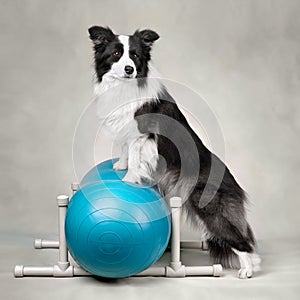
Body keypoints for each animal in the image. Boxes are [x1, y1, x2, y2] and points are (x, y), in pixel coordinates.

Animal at [88, 25, 260, 278]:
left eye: (135, 55)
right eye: (116, 54)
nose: (129, 69)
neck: (126, 87)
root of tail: (233, 183)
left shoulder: (142, 134)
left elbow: (135, 155)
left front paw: (129, 178)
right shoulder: (127, 130)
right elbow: (125, 148)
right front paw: (120, 166)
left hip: (209, 207)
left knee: (241, 241)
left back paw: (247, 271)